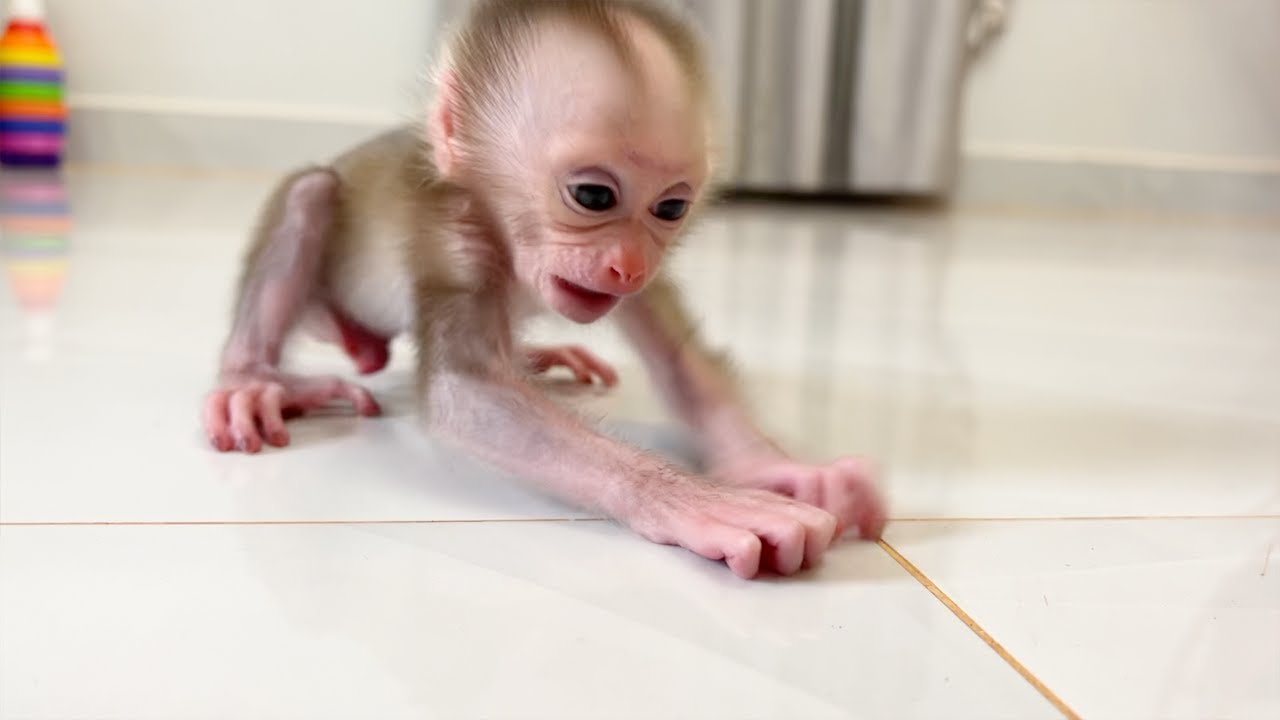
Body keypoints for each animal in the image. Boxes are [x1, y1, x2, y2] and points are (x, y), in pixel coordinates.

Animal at [202, 0, 887, 579]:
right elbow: (464, 392)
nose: (627, 267)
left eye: (670, 208)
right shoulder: (456, 238)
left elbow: (679, 361)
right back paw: (251, 380)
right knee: (310, 194)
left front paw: (773, 468)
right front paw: (693, 500)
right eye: (593, 196)